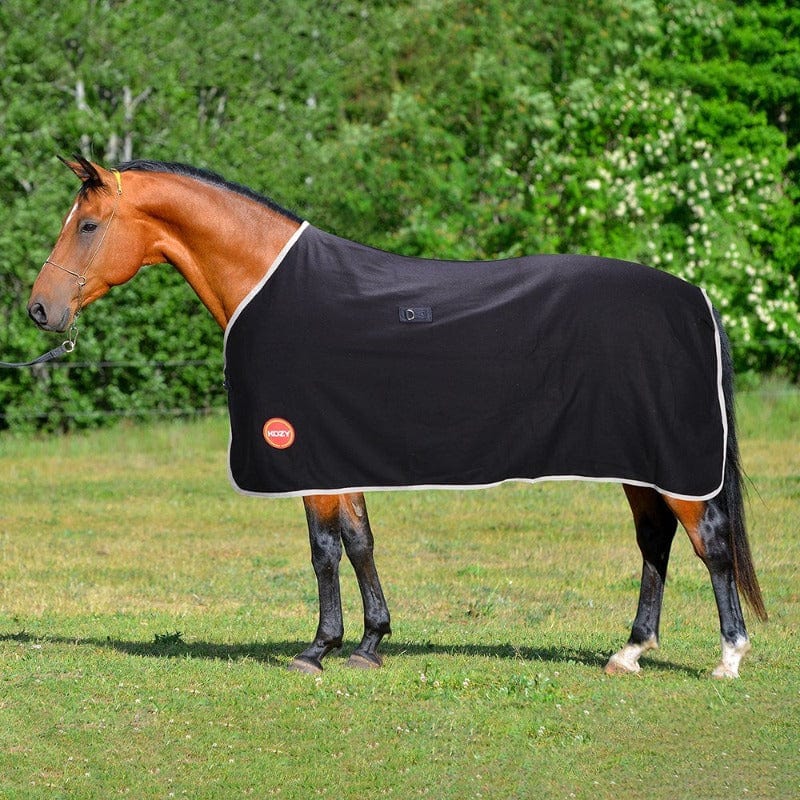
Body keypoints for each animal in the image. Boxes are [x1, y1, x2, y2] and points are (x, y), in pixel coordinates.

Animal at [27, 156, 766, 678]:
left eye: (87, 225)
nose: (39, 310)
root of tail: (696, 298)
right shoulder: (337, 451)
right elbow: (359, 541)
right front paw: (370, 642)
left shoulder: (303, 450)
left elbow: (324, 549)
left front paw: (318, 648)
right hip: (638, 462)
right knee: (655, 542)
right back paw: (630, 651)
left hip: (673, 463)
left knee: (710, 542)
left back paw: (728, 657)